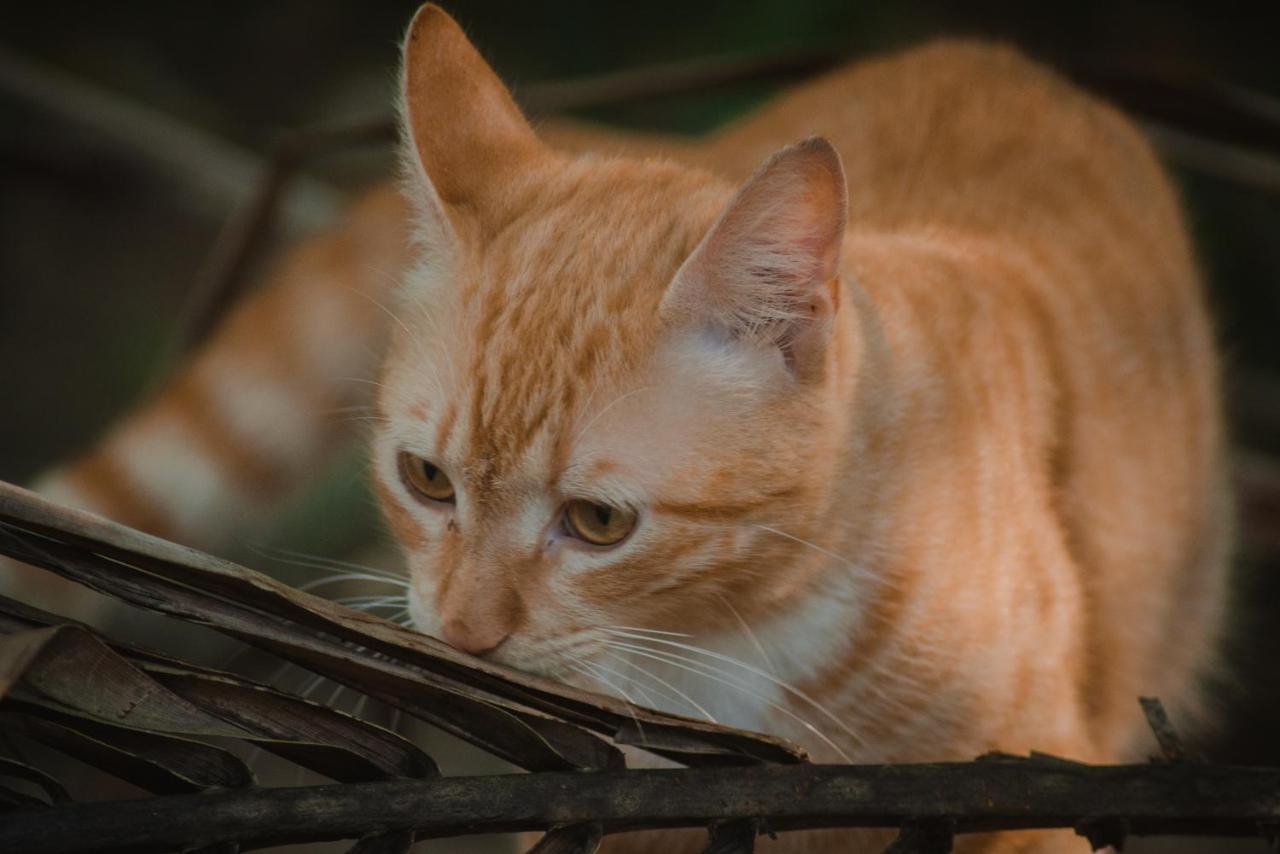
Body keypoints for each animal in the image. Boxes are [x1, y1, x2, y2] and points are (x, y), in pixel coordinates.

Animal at [2, 6, 1228, 854]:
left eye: (597, 522)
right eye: (426, 479)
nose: (461, 635)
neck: (734, 642)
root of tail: (994, 56)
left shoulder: (1029, 784)